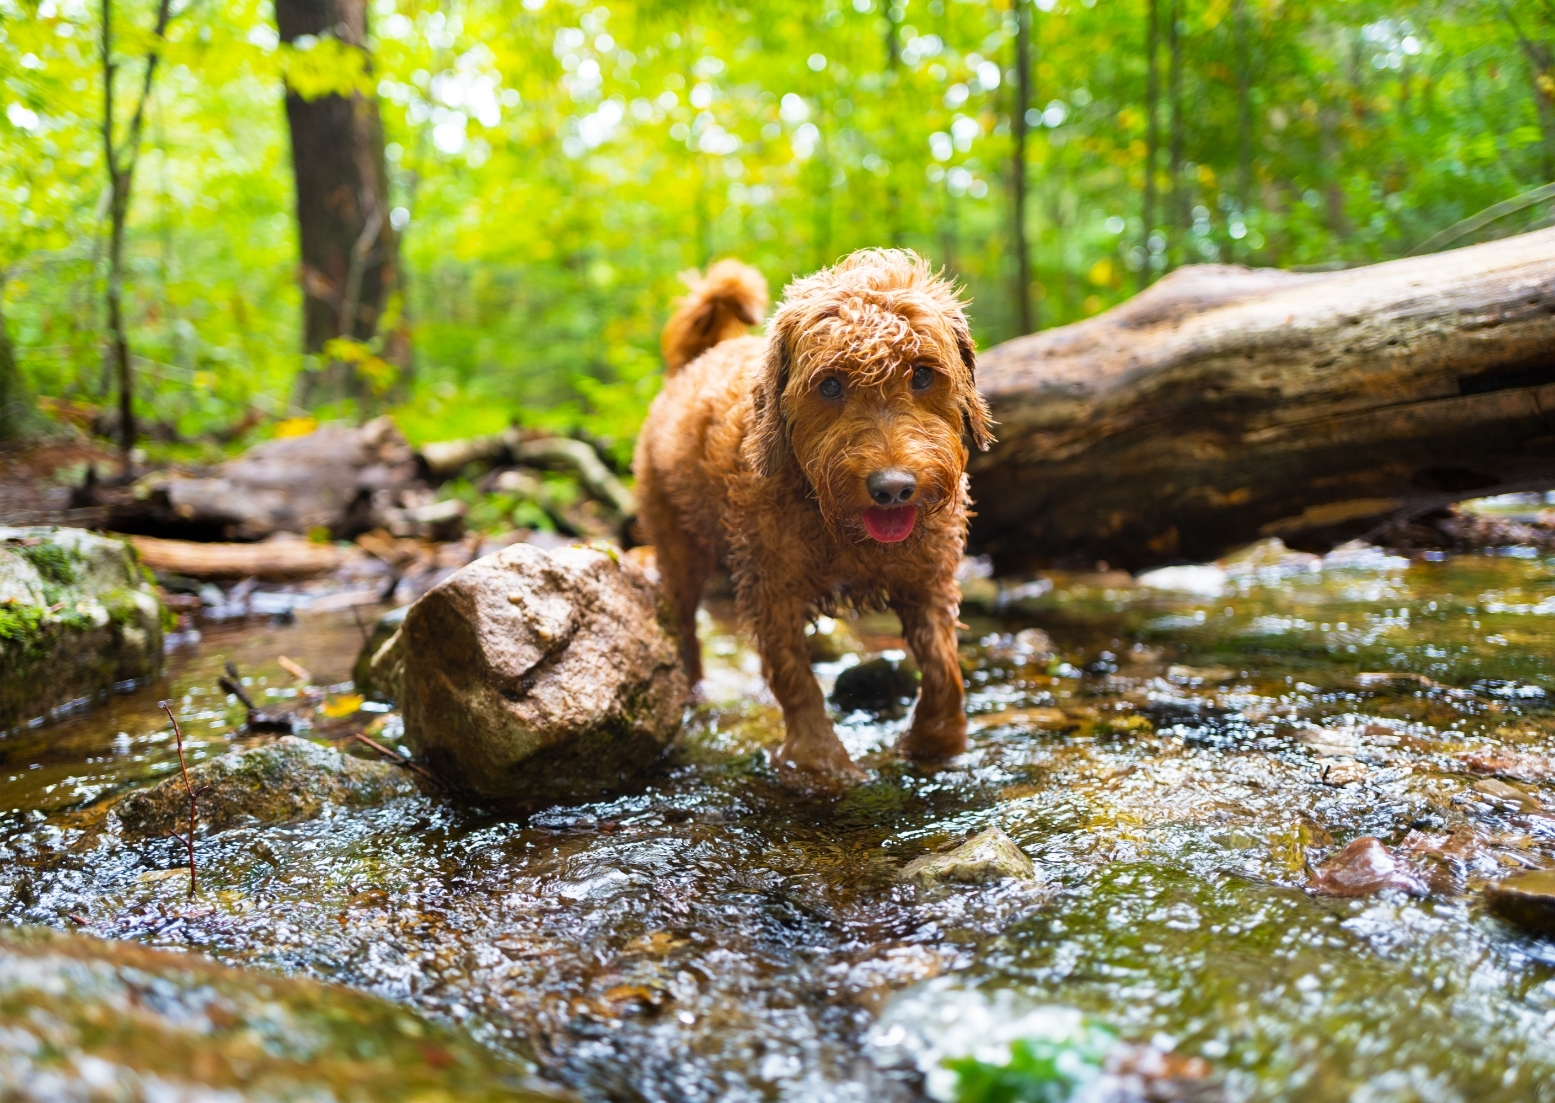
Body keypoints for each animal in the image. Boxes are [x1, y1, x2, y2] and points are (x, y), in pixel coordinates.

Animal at [631, 248, 995, 784]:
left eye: (923, 374)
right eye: (830, 386)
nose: (893, 488)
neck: (838, 525)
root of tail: (693, 362)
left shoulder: (927, 580)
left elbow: (944, 666)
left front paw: (935, 741)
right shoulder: (771, 590)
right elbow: (795, 678)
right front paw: (819, 760)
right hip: (680, 550)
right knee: (686, 632)